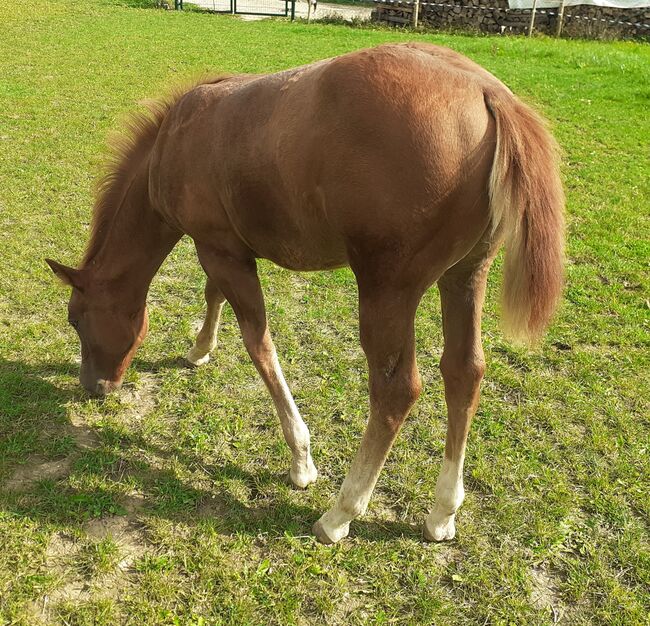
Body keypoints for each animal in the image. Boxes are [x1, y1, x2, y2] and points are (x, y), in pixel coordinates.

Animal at [45, 44, 560, 540]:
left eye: (75, 319)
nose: (94, 386)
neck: (174, 139)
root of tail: (488, 93)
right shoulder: (223, 250)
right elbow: (214, 298)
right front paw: (200, 350)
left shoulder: (220, 251)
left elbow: (258, 343)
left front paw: (301, 460)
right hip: (466, 276)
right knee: (464, 371)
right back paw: (441, 514)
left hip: (387, 290)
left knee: (396, 391)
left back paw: (340, 514)